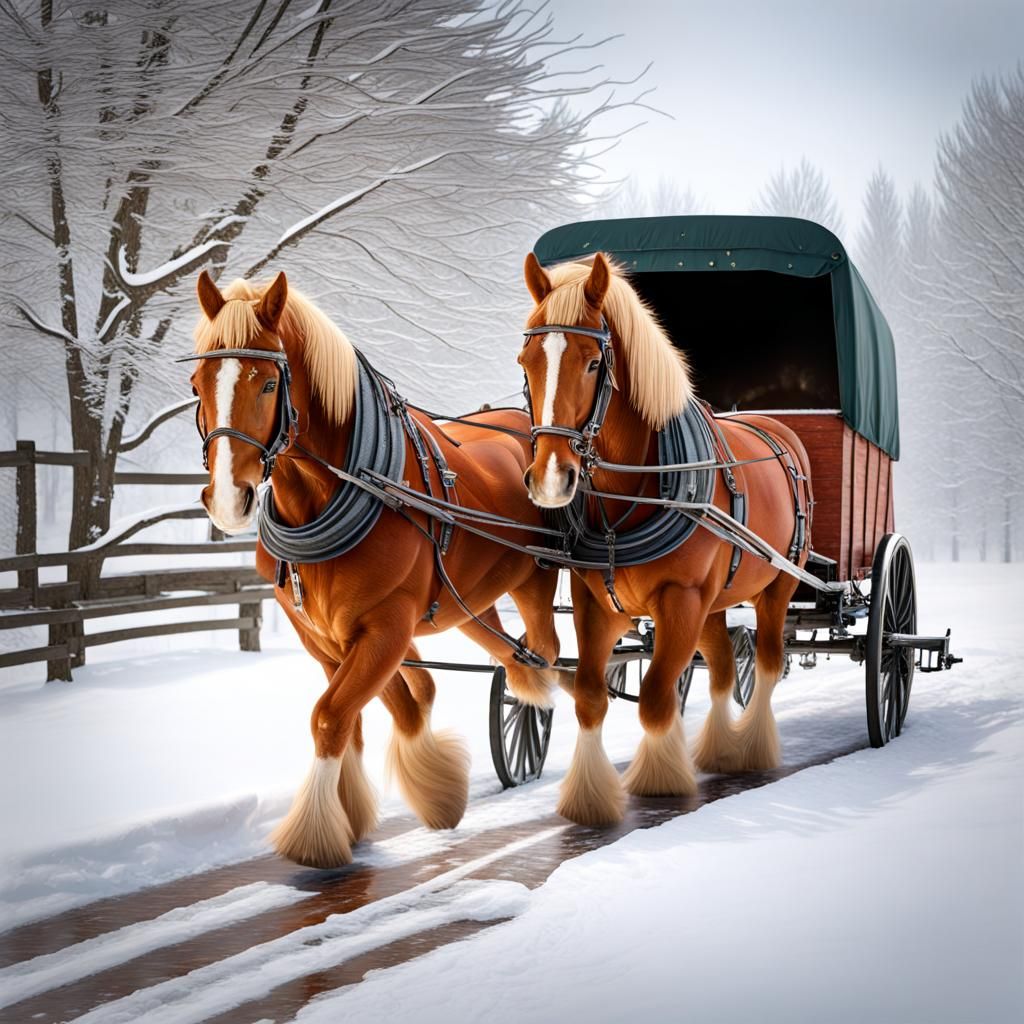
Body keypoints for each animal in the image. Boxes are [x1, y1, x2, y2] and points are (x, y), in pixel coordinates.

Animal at [188, 269, 561, 868]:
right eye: (199, 382)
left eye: (267, 384)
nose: (228, 498)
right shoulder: (327, 639)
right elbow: (370, 715)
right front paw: (363, 813)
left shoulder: (385, 628)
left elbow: (335, 715)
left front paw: (322, 834)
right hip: (467, 603)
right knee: (512, 659)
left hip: (536, 578)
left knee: (550, 653)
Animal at [518, 251, 813, 827]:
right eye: (526, 360)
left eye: (593, 363)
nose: (552, 479)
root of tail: (779, 428)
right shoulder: (595, 601)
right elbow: (590, 696)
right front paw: (589, 796)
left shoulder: (680, 599)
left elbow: (657, 696)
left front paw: (659, 782)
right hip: (716, 601)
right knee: (722, 669)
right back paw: (720, 748)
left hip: (775, 588)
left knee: (766, 663)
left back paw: (753, 748)